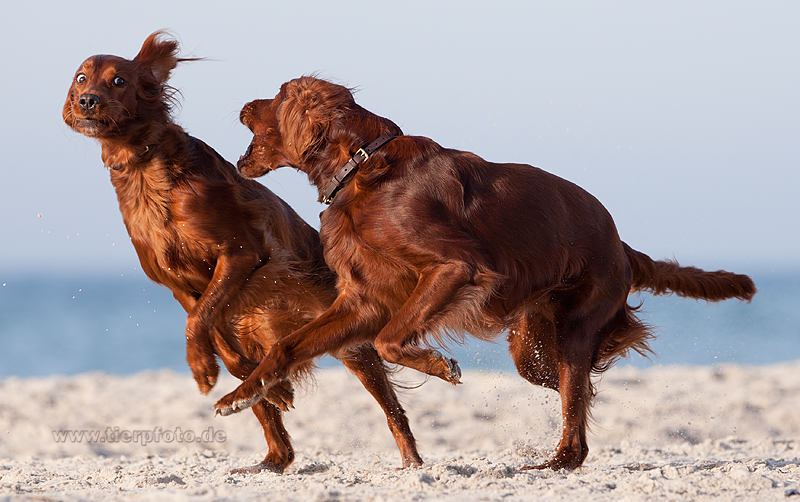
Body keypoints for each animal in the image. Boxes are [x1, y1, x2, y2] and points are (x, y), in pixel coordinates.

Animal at [62, 37, 422, 472]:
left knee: (392, 408)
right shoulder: (177, 284)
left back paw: (413, 461)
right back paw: (270, 453)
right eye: (81, 78)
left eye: (118, 80)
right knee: (272, 429)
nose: (87, 101)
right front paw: (246, 379)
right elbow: (209, 328)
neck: (144, 170)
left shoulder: (240, 254)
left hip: (346, 338)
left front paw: (207, 368)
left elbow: (202, 318)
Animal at [214, 75, 756, 470]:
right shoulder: (360, 300)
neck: (363, 167)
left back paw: (555, 463)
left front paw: (438, 365)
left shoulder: (456, 268)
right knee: (575, 390)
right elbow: (287, 347)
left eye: (276, 96)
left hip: (575, 328)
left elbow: (391, 339)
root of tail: (620, 245)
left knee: (576, 407)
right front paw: (242, 394)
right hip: (532, 348)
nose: (240, 104)